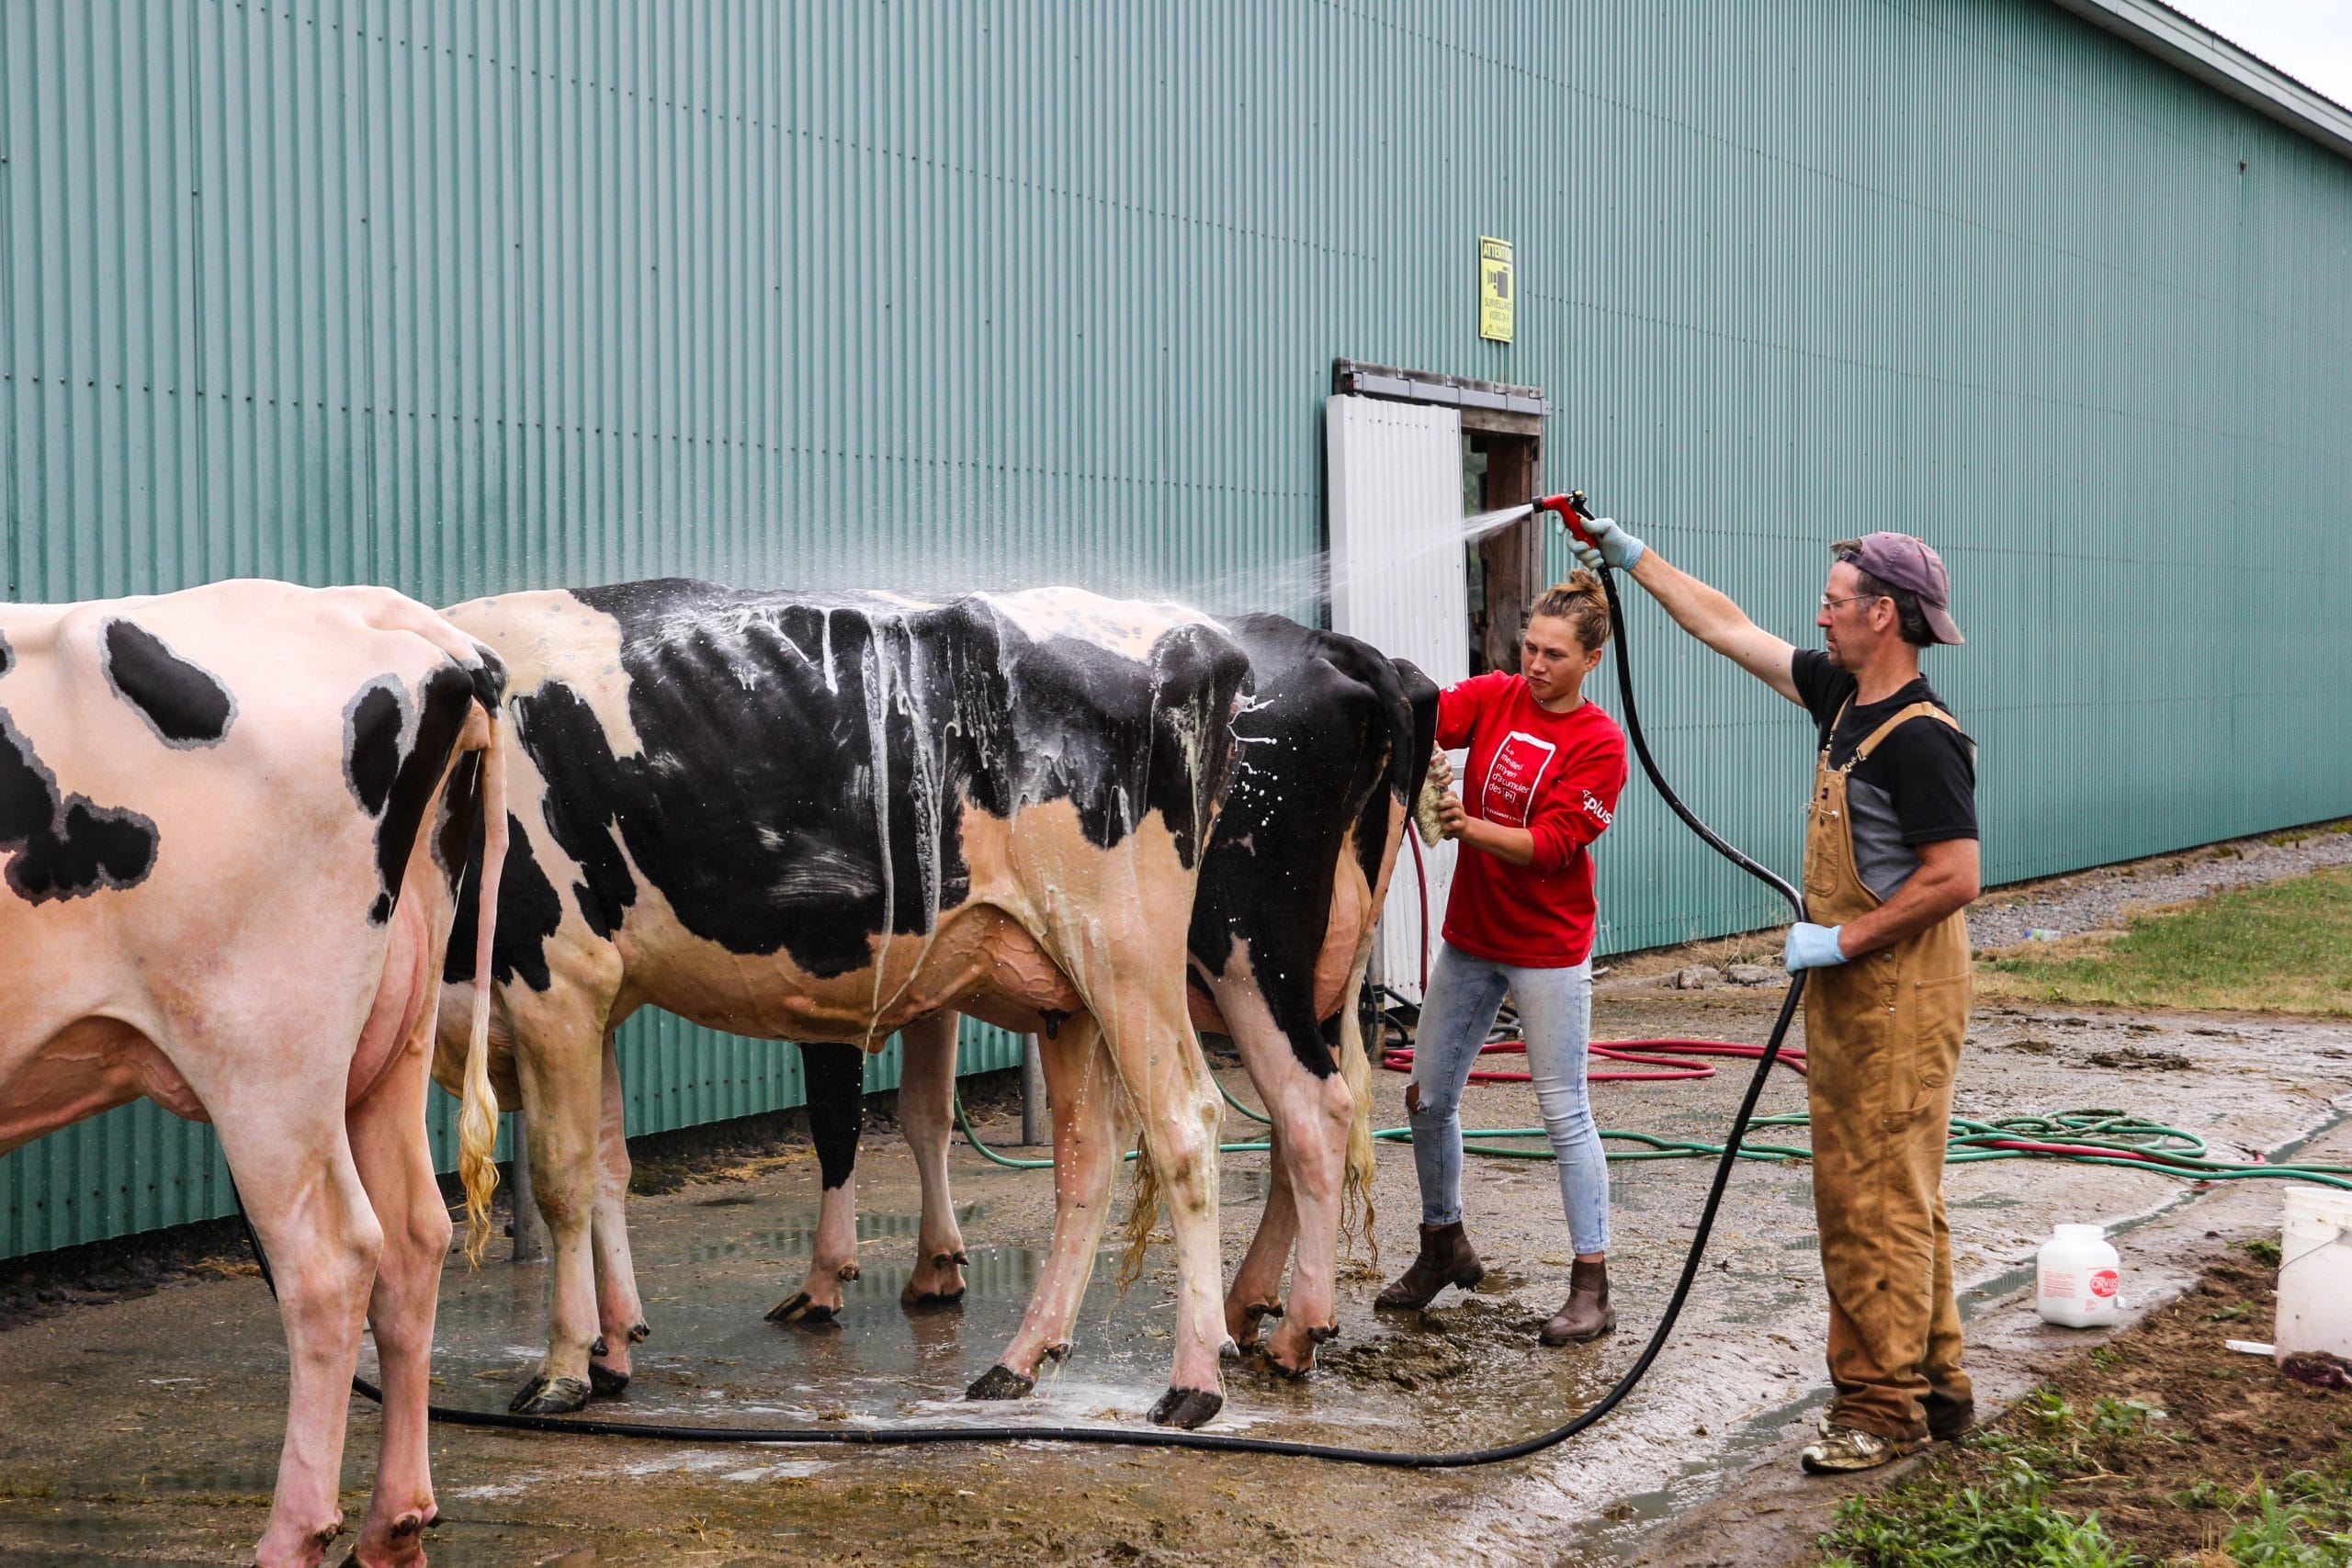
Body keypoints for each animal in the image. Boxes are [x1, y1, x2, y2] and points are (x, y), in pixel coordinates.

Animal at [0, 580, 506, 1568]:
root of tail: (396, 618)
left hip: (266, 1055)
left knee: (332, 1258)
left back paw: (295, 1531)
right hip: (394, 1033)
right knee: (415, 1234)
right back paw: (395, 1524)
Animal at [433, 580, 1251, 1427]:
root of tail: (1197, 637)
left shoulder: (553, 977)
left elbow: (562, 1179)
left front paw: (562, 1367)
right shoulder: (601, 992)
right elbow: (607, 1166)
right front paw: (613, 1348)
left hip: (1123, 955)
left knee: (1186, 1122)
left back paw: (1194, 1381)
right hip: (1067, 989)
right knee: (1087, 1153)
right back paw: (1020, 1359)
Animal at [765, 616, 1439, 1389]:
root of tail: (1339, 647)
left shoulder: (837, 970)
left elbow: (836, 1120)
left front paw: (824, 1279)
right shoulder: (931, 967)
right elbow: (926, 1111)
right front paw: (937, 1263)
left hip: (1251, 957)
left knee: (1310, 1110)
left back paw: (1290, 1331)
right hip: (1317, 976)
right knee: (1302, 1122)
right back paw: (1248, 1305)